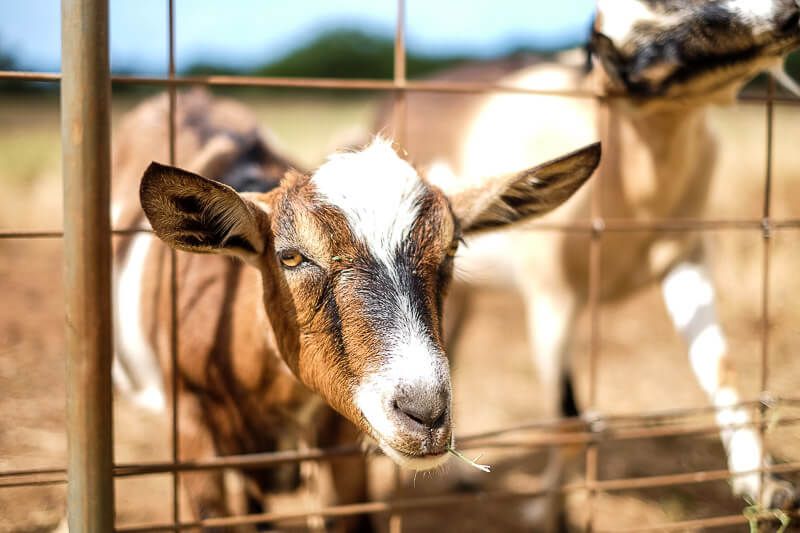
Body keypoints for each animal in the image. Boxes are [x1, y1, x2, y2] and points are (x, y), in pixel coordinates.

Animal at [378, 0, 800, 524]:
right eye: (646, 54)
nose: (786, 17)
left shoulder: (685, 261)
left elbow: (719, 366)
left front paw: (767, 487)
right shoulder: (552, 302)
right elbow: (570, 422)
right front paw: (545, 515)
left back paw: (458, 476)